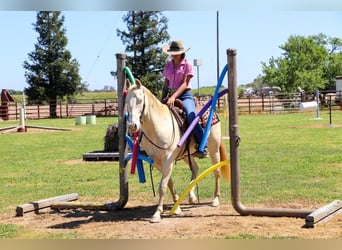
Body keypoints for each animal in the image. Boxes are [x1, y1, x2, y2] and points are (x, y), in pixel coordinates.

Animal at [125, 78, 230, 223]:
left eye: (140, 100)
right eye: (126, 101)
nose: (132, 126)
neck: (158, 126)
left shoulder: (168, 160)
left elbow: (162, 186)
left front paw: (157, 214)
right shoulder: (157, 161)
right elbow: (168, 183)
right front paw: (177, 207)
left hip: (214, 148)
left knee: (217, 171)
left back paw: (215, 199)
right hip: (186, 154)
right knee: (195, 168)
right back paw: (192, 197)